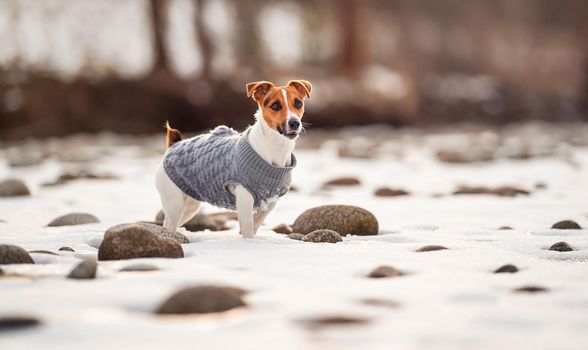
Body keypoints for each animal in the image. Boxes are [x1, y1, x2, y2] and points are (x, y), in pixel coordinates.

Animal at [155, 79, 312, 238]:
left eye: (298, 103)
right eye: (275, 106)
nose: (294, 123)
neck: (274, 148)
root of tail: (174, 146)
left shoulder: (271, 200)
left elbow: (256, 222)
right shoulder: (244, 197)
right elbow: (248, 226)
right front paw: (248, 241)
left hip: (190, 205)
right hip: (175, 203)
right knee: (169, 224)